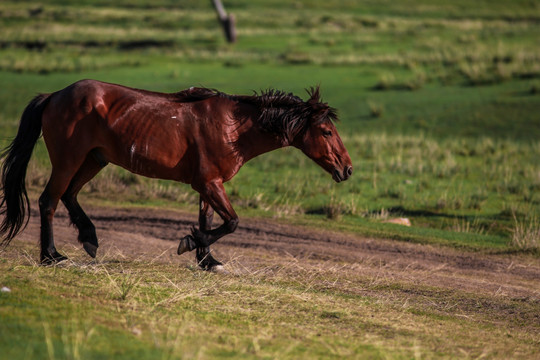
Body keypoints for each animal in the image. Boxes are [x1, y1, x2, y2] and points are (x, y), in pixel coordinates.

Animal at [0, 79, 352, 270]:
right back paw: (52, 256)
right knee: (49, 201)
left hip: (94, 160)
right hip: (68, 159)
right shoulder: (209, 183)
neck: (232, 129)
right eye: (326, 131)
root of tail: (54, 95)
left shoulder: (209, 185)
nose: (347, 169)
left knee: (70, 195)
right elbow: (231, 222)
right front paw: (189, 243)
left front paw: (208, 260)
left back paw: (89, 237)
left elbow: (208, 221)